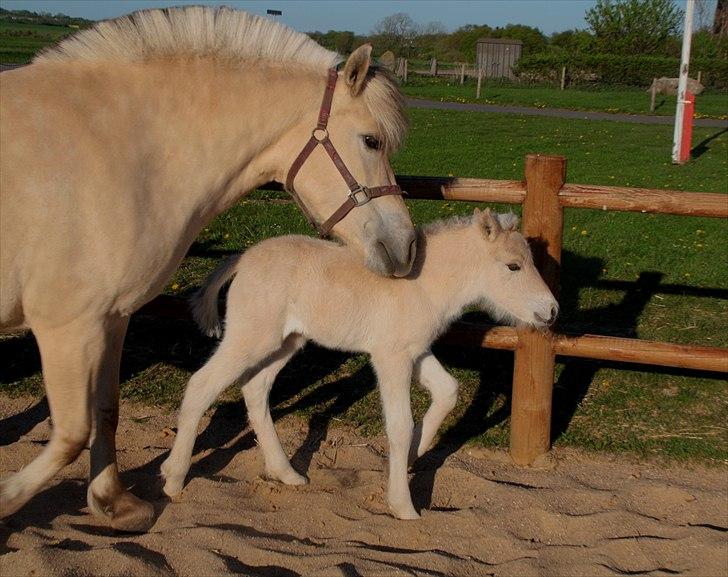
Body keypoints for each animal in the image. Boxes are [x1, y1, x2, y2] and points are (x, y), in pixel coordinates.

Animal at [0, 6, 416, 532]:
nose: (407, 246)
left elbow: (106, 411)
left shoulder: (111, 319)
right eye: (371, 140)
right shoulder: (66, 326)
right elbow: (72, 433)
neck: (123, 150)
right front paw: (7, 500)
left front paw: (114, 502)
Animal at [161, 209, 556, 520]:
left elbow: (448, 392)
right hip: (251, 337)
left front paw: (411, 456)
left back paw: (286, 473)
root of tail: (243, 258)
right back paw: (173, 478)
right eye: (513, 266)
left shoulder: (414, 351)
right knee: (202, 385)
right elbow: (399, 425)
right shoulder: (391, 357)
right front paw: (403, 505)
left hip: (287, 342)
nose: (551, 311)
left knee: (255, 389)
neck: (424, 285)